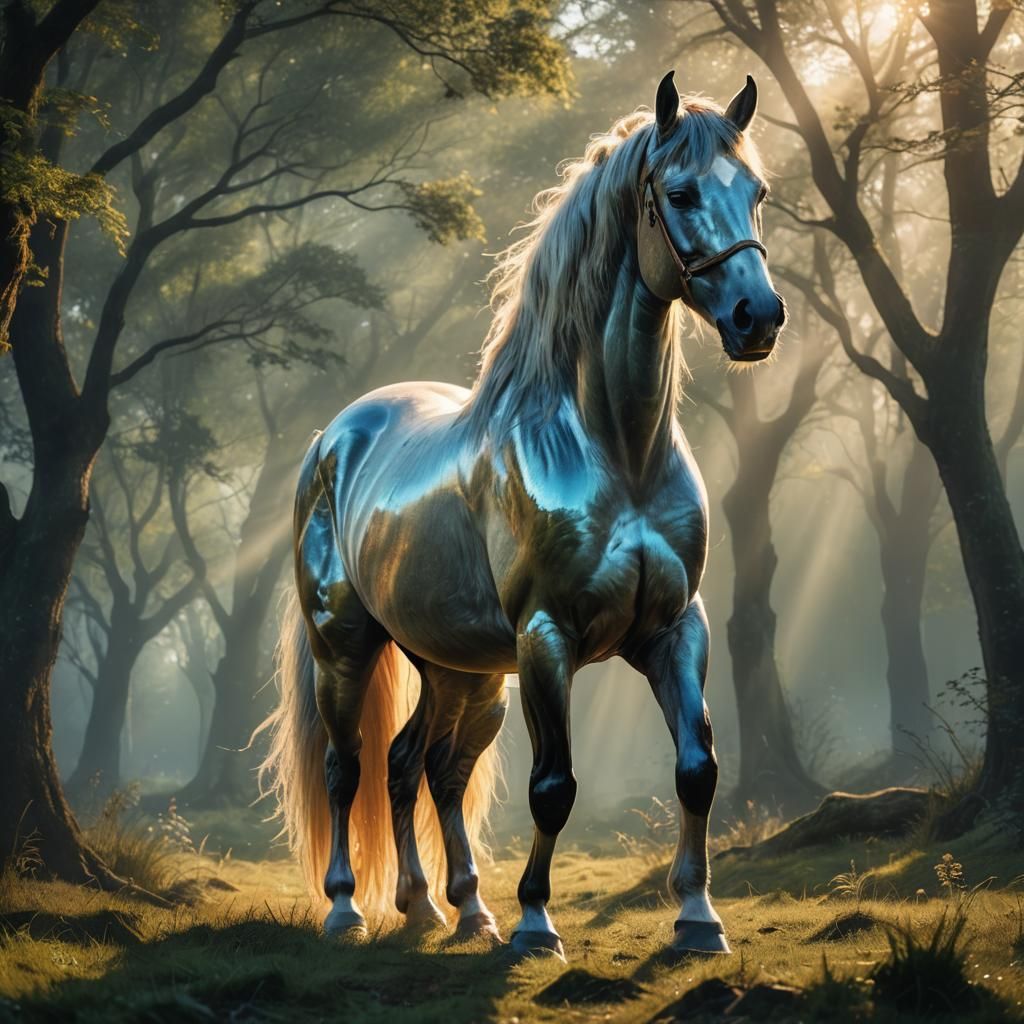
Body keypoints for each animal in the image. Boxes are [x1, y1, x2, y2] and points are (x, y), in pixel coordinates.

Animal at [260, 70, 786, 961]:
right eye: (680, 193)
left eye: (755, 192)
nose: (760, 318)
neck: (618, 452)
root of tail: (335, 437)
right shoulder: (548, 638)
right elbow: (553, 784)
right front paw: (539, 924)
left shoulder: (676, 629)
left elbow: (696, 768)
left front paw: (697, 918)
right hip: (348, 646)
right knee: (348, 766)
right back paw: (347, 909)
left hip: (459, 666)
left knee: (420, 766)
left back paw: (450, 908)